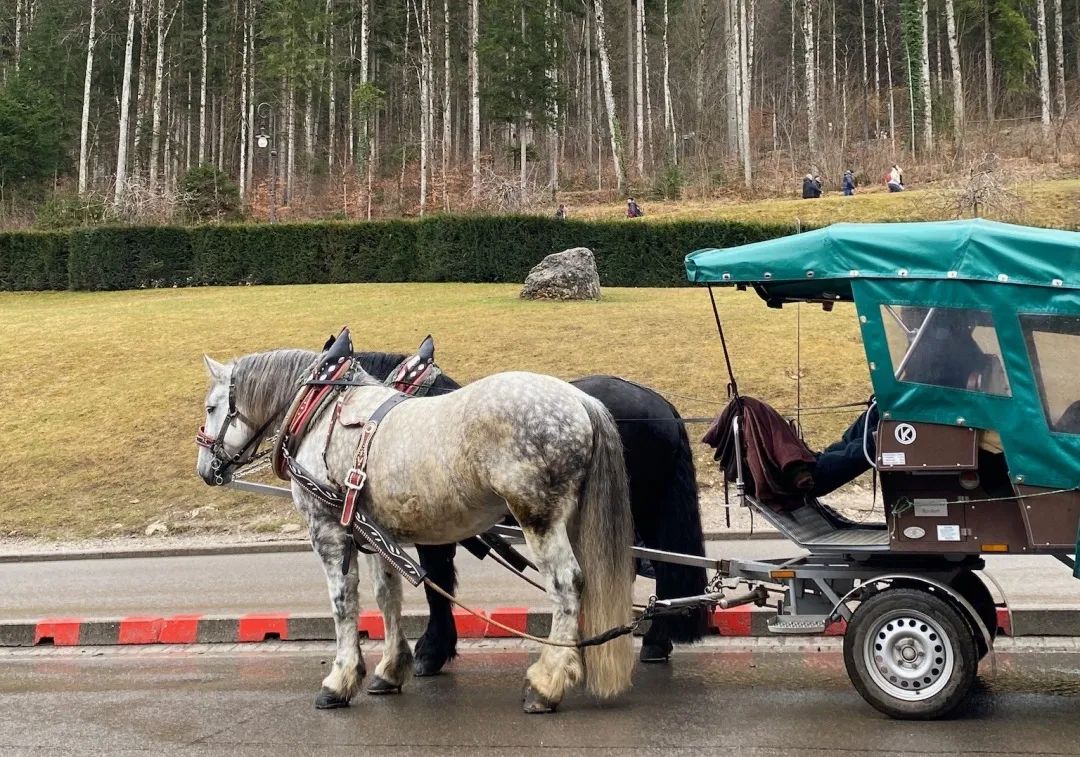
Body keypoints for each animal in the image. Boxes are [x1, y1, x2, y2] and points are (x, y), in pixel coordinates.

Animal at [198, 339, 635, 712]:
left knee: (566, 583)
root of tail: (582, 401)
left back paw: (547, 681)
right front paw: (390, 669)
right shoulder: (371, 533)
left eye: (210, 408)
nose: (205, 469)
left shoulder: (328, 530)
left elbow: (343, 601)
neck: (322, 413)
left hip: (538, 515)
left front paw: (339, 680)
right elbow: (386, 596)